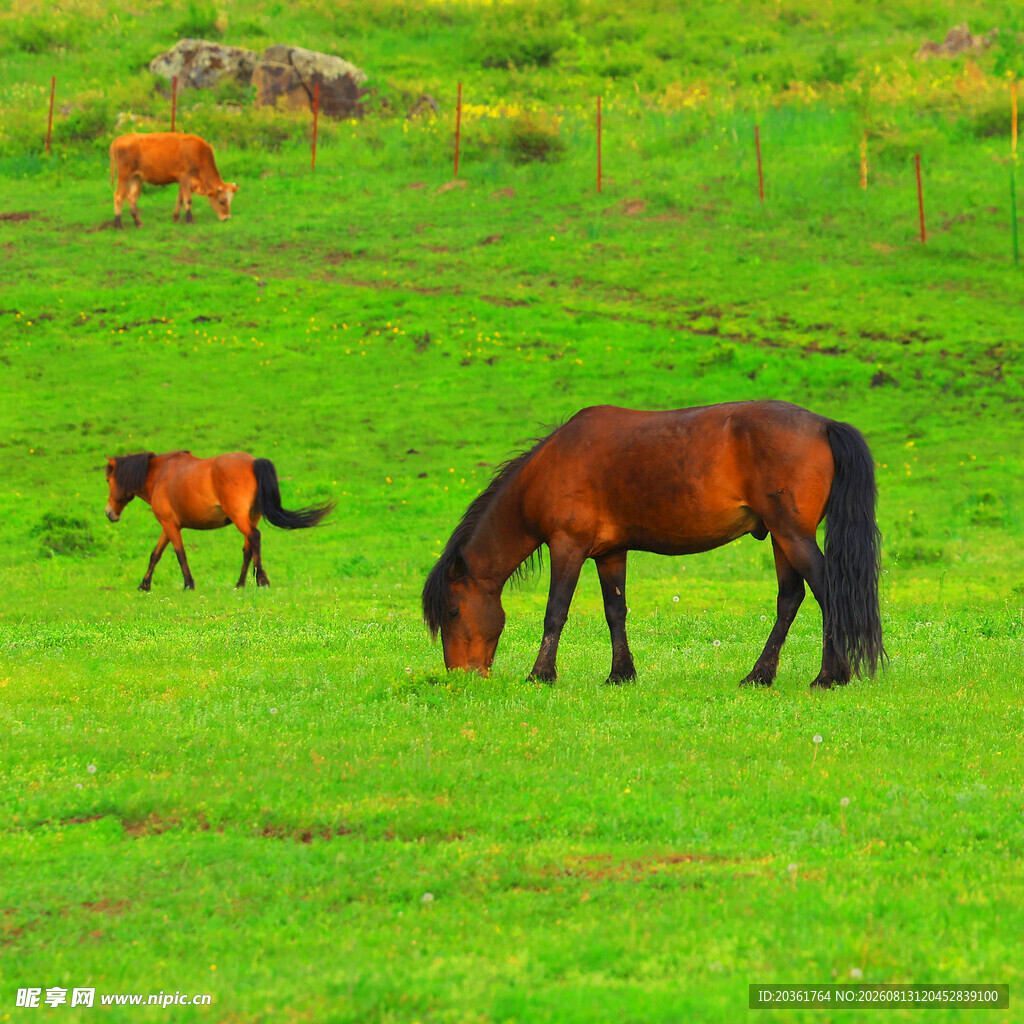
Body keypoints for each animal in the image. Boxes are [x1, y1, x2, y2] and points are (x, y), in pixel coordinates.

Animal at [104, 451, 333, 591]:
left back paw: (261, 579)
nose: (109, 513)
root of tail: (253, 462)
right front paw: (144, 585)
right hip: (252, 516)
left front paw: (188, 584)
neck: (160, 474)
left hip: (240, 517)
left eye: (108, 480)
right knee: (248, 547)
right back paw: (240, 583)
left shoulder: (169, 524)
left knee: (255, 538)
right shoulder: (169, 526)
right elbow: (156, 554)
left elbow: (180, 554)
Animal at [423, 401, 885, 689]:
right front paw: (620, 674)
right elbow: (615, 612)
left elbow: (555, 613)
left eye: (453, 611)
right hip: (780, 538)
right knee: (790, 599)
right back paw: (759, 676)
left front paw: (541, 674)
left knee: (828, 592)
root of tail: (823, 425)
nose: (460, 676)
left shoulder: (567, 547)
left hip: (792, 535)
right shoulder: (609, 554)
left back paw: (829, 676)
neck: (552, 466)